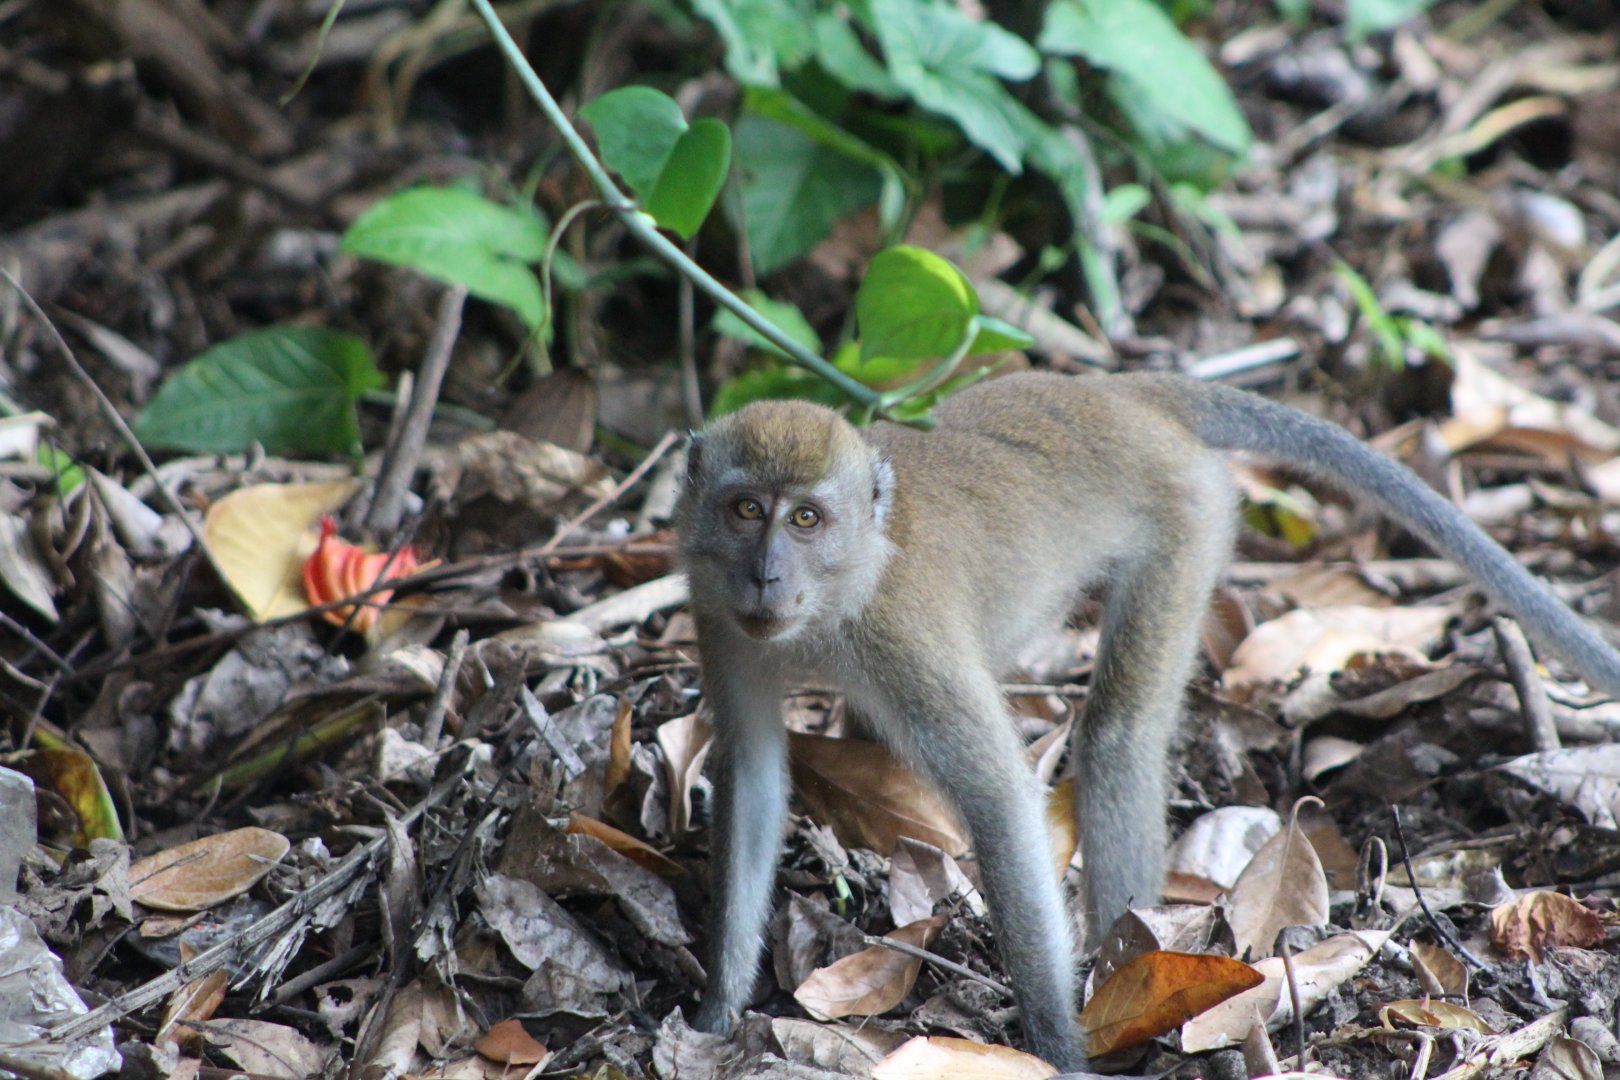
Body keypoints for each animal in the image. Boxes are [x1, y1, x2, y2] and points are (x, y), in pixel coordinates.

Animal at [674, 370, 1620, 1069]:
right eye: (746, 510)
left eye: (806, 518)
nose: (766, 575)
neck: (838, 593)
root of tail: (1116, 393)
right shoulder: (720, 618)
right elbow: (753, 775)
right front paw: (718, 1006)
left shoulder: (897, 632)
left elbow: (998, 796)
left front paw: (1058, 1049)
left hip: (1189, 515)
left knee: (1117, 733)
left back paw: (1126, 978)